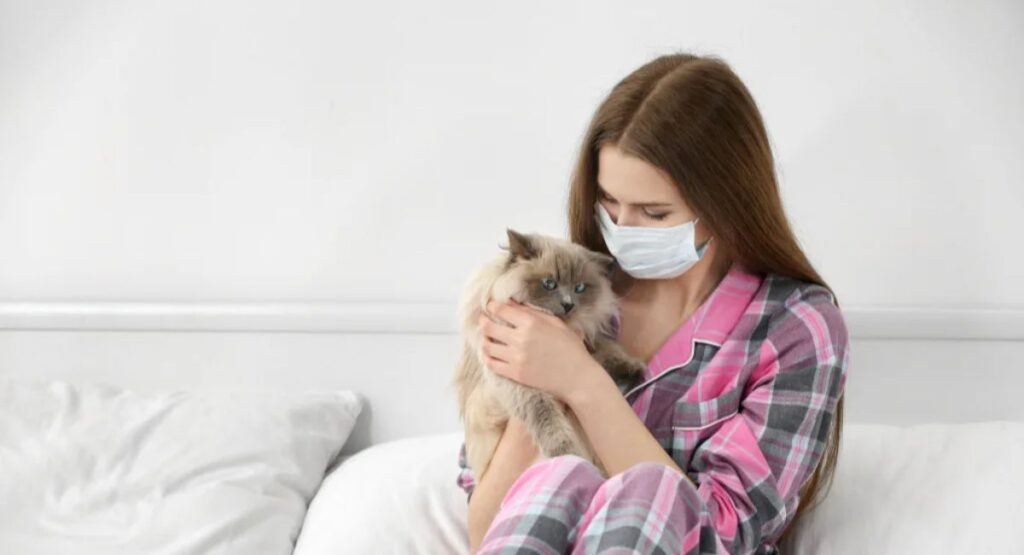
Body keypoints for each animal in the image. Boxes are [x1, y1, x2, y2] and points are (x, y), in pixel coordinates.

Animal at [450, 228, 643, 485]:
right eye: (549, 284)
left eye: (579, 288)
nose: (568, 305)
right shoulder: (521, 387)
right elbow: (548, 421)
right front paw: (565, 450)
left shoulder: (585, 339)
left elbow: (606, 350)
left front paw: (632, 367)